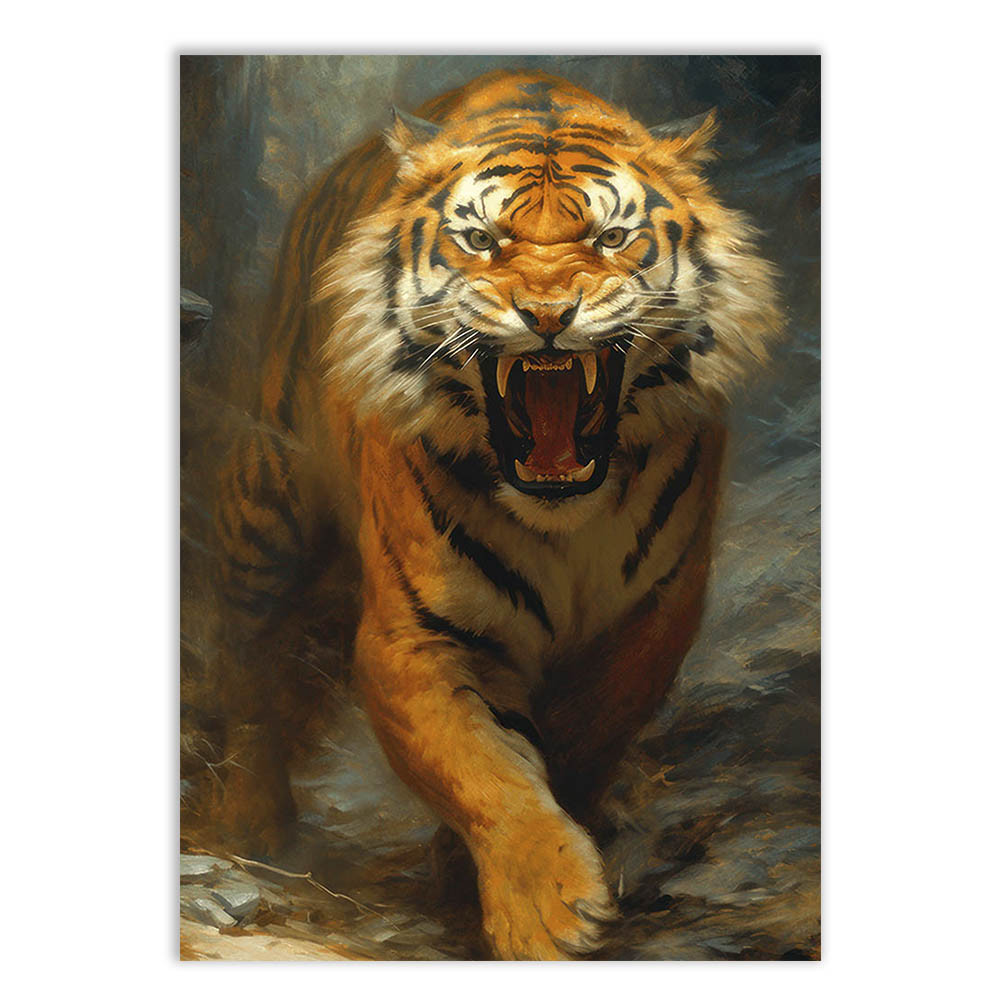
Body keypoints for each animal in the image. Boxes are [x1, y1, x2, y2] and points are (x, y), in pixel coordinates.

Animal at [208, 69, 782, 960]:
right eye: (480, 240)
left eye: (612, 238)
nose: (546, 315)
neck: (566, 519)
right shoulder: (417, 637)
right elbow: (484, 771)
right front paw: (545, 910)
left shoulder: (653, 616)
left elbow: (579, 737)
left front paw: (479, 872)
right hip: (265, 513)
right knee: (245, 666)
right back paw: (251, 822)